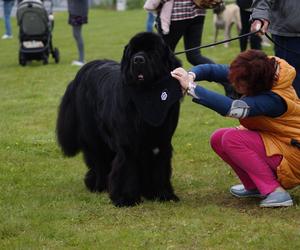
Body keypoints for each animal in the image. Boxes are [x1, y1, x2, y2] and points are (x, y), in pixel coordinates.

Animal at [56, 31, 183, 207]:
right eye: (133, 52)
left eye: (152, 51)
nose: (138, 60)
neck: (148, 94)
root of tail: (82, 71)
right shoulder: (127, 143)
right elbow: (126, 168)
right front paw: (125, 198)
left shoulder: (161, 141)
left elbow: (159, 167)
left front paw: (162, 194)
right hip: (93, 136)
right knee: (98, 160)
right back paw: (98, 185)